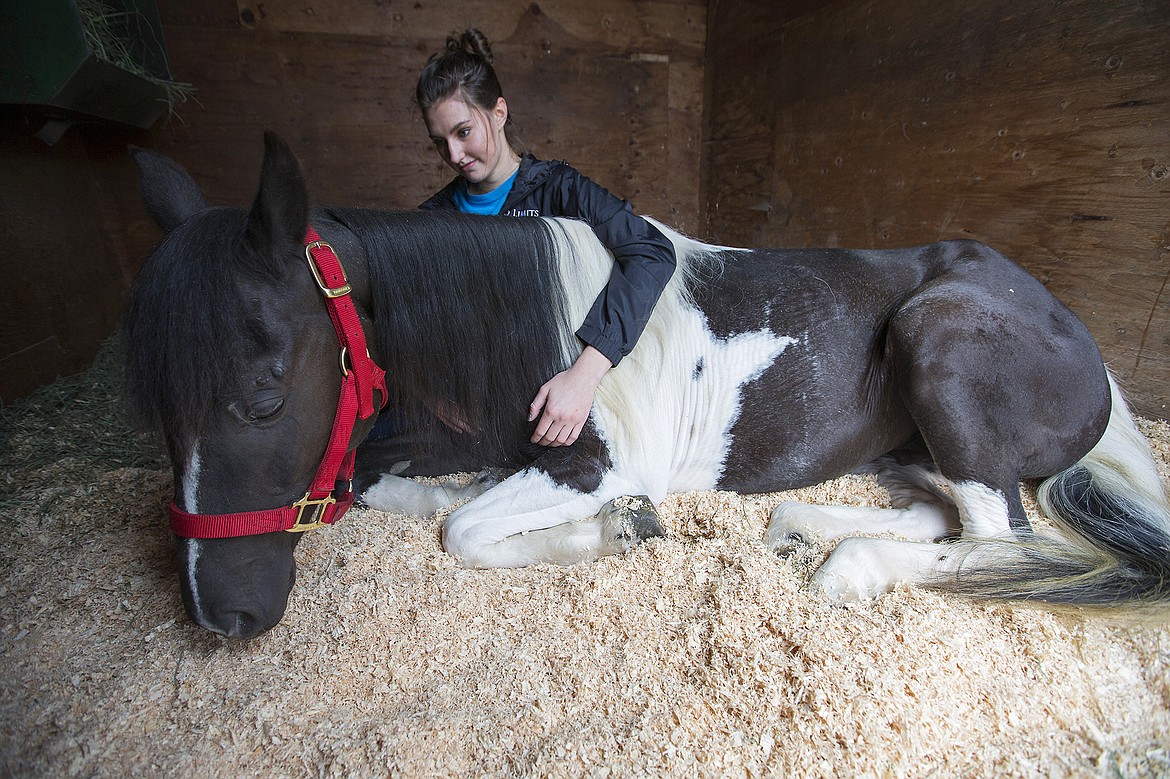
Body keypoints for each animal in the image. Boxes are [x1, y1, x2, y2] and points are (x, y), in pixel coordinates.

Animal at [123, 130, 1165, 636]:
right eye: (158, 410)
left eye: (263, 396)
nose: (224, 615)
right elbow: (398, 486)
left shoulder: (596, 459)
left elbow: (464, 530)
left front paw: (617, 527)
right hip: (908, 441)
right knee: (946, 514)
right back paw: (803, 529)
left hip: (935, 342)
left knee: (1004, 539)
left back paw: (847, 566)